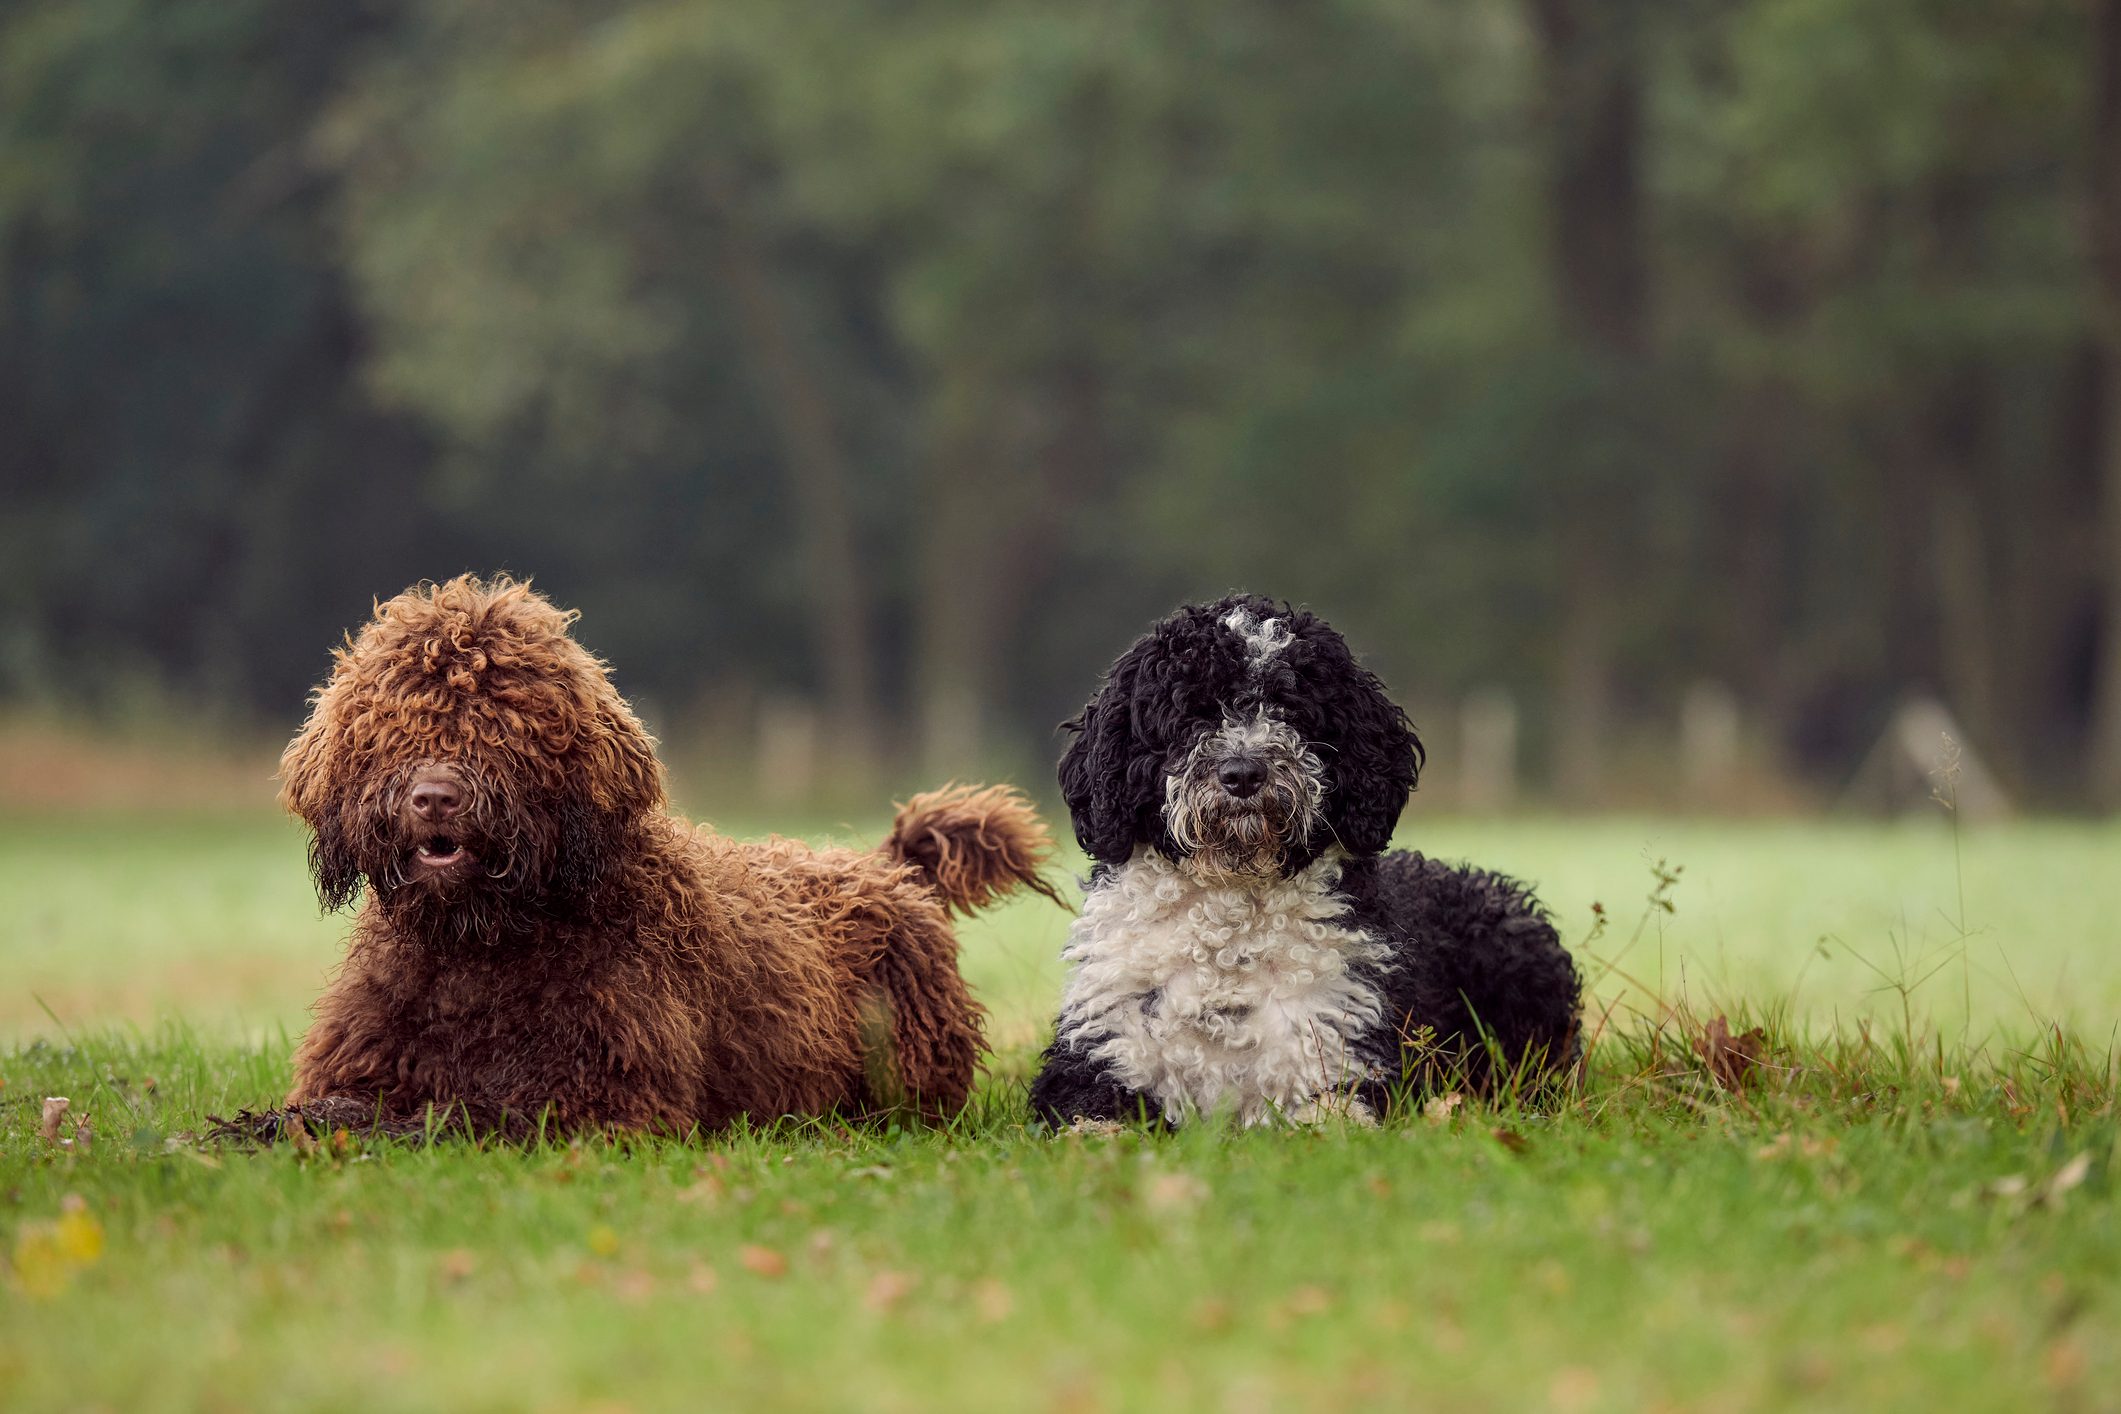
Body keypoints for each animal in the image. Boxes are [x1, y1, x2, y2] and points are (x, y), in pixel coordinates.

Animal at [273, 568, 1052, 1136]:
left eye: (505, 725)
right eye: (393, 725)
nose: (435, 798)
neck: (476, 950)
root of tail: (886, 867)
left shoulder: (611, 1102)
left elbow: (461, 1118)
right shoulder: (360, 1064)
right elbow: (327, 1109)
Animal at [1026, 597, 1578, 1127]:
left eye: (1291, 709)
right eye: (1190, 713)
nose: (1243, 773)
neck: (1230, 939)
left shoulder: (1339, 1052)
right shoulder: (1102, 1051)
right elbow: (1093, 1124)